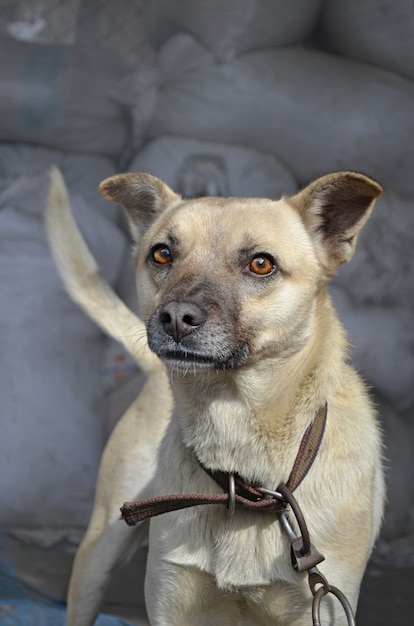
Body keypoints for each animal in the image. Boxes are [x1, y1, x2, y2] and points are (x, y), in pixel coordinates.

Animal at [45, 168, 384, 620]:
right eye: (162, 254)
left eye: (261, 263)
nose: (175, 317)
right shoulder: (170, 599)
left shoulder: (321, 605)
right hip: (97, 556)